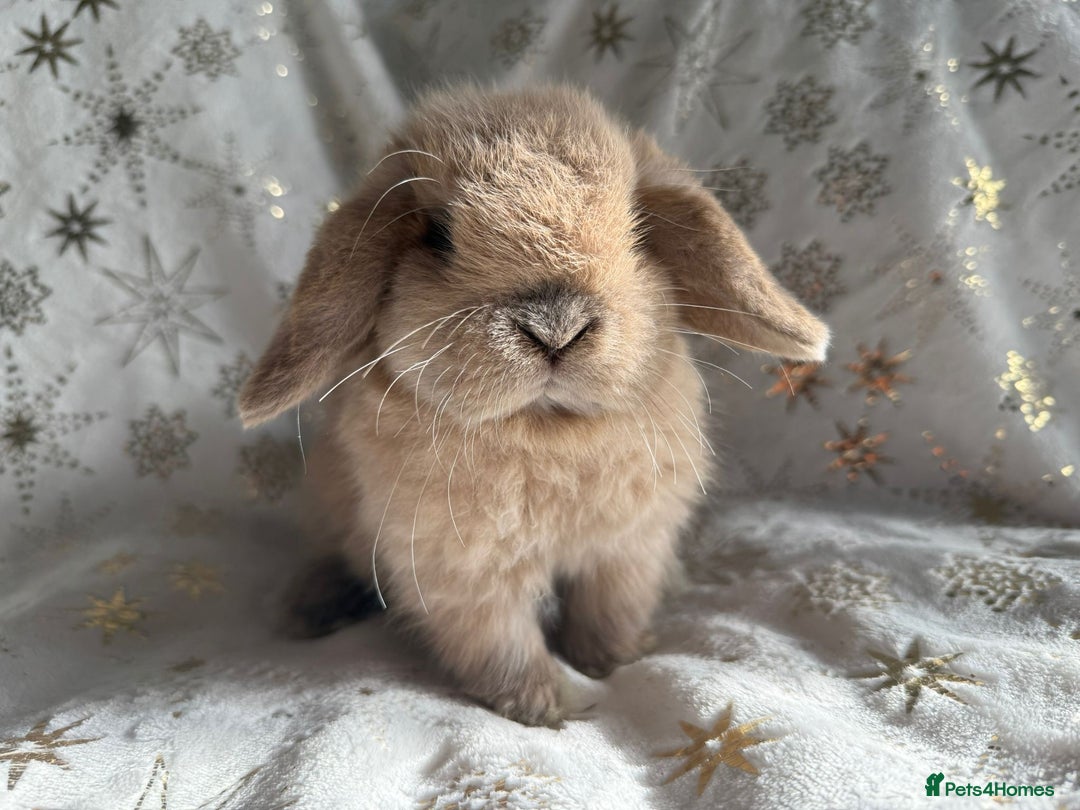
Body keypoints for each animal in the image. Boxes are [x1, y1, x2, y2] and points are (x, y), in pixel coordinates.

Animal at [238, 84, 829, 726]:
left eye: (638, 229)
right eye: (438, 235)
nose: (555, 328)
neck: (546, 430)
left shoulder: (627, 550)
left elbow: (610, 610)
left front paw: (614, 661)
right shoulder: (459, 571)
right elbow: (501, 642)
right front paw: (544, 705)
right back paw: (306, 611)